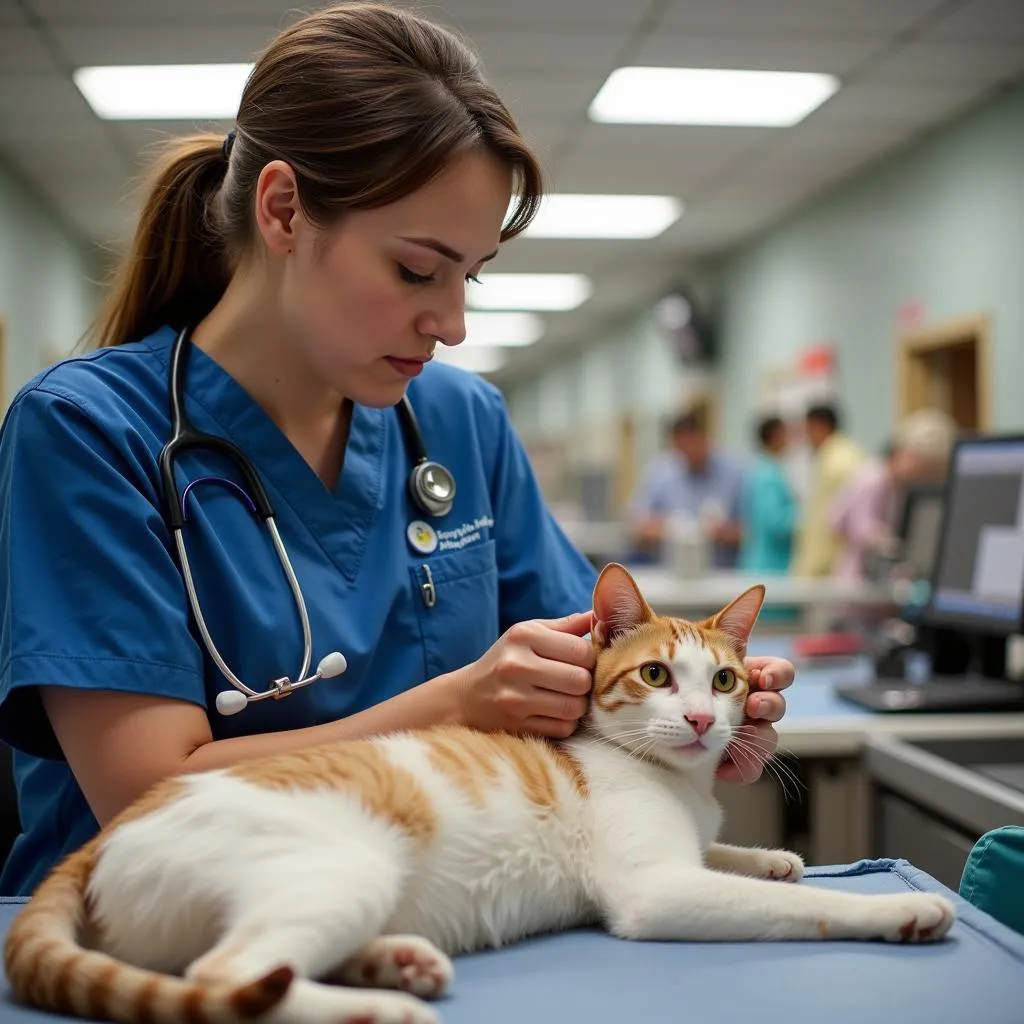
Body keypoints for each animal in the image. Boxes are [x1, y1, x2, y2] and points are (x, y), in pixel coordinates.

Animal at [4, 565, 954, 1024]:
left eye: (724, 681)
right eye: (655, 675)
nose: (696, 719)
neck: (677, 782)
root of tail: (97, 844)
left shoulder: (691, 840)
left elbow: (732, 856)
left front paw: (772, 854)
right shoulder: (657, 889)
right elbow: (808, 908)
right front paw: (895, 911)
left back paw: (396, 962)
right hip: (337, 869)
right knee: (224, 978)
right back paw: (376, 1008)